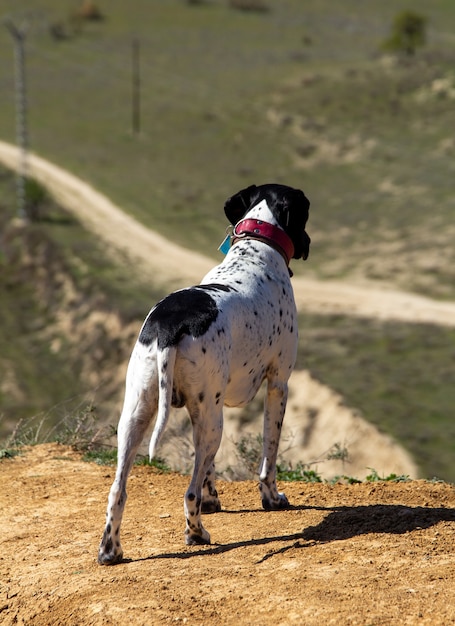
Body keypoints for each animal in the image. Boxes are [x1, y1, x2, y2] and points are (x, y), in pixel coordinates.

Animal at [96, 183, 310, 564]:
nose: (310, 243)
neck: (257, 250)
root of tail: (169, 328)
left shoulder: (210, 403)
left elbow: (207, 469)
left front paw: (214, 500)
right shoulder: (278, 384)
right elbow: (269, 455)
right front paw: (272, 499)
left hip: (140, 414)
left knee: (117, 491)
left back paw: (111, 550)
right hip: (213, 425)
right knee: (189, 492)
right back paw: (196, 534)